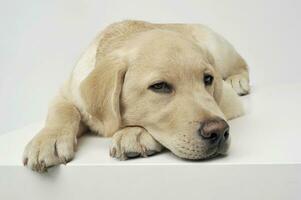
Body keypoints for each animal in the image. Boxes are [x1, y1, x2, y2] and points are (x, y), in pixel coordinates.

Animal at [22, 19, 248, 171]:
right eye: (159, 86)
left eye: (208, 79)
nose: (219, 131)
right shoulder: (66, 92)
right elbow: (63, 110)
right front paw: (47, 141)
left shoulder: (227, 103)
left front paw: (134, 133)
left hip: (219, 49)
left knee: (241, 63)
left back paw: (238, 80)